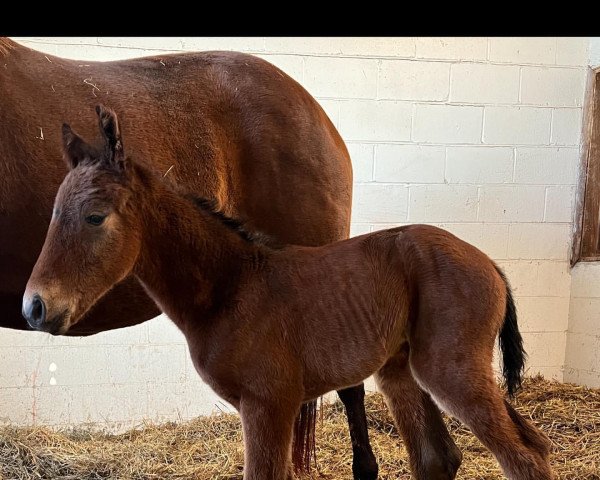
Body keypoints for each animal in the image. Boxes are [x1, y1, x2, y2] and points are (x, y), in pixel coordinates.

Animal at [25, 106, 552, 480]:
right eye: (52, 213)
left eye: (95, 217)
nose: (35, 307)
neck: (230, 286)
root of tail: (490, 264)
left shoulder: (268, 404)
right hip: (402, 369)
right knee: (445, 457)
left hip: (449, 369)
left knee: (523, 456)